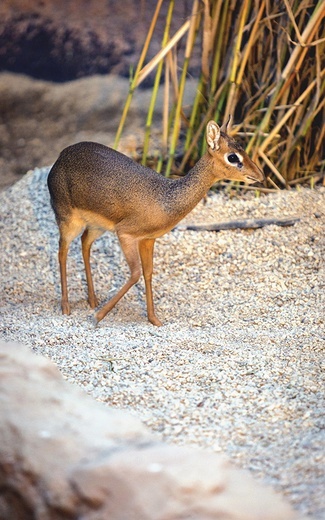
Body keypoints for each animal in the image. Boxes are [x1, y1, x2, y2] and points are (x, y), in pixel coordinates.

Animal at [47, 120, 264, 328]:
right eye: (233, 157)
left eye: (243, 148)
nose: (260, 175)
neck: (165, 198)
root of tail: (60, 157)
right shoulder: (125, 234)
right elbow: (135, 274)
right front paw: (97, 318)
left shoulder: (148, 239)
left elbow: (148, 273)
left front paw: (154, 320)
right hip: (68, 221)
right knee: (62, 251)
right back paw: (66, 307)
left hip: (96, 227)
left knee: (84, 244)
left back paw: (92, 300)